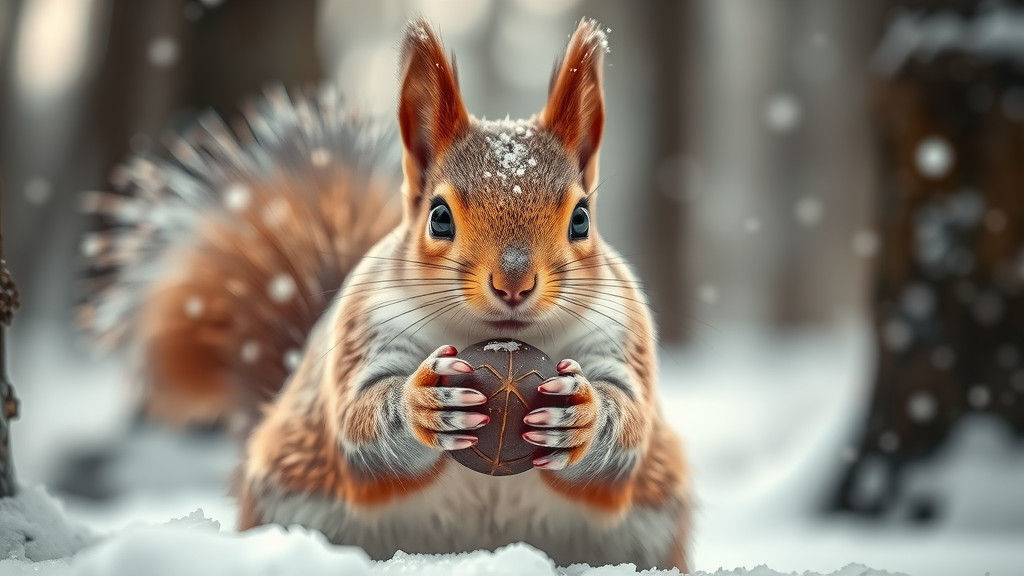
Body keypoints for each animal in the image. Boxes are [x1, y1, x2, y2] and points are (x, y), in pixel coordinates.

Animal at [81, 17, 691, 571]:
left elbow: (625, 431)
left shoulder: (618, 338)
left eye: (582, 219)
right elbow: (362, 429)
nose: (513, 284)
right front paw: (423, 404)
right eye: (439, 217)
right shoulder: (367, 331)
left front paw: (581, 414)